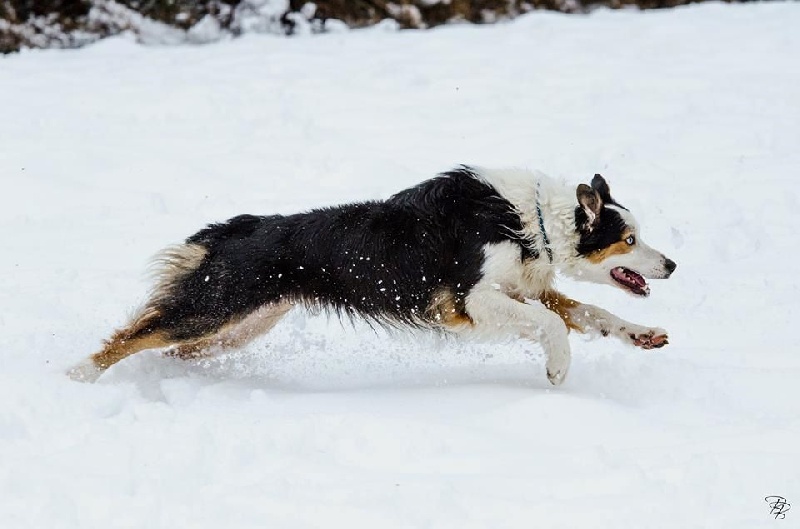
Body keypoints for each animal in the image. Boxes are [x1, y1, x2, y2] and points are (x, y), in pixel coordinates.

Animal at [72, 167, 680, 386]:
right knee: (130, 336)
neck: (531, 221)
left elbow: (593, 313)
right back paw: (77, 377)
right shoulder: (470, 302)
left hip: (241, 326)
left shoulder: (522, 290)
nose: (672, 264)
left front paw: (642, 335)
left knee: (171, 349)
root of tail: (233, 229)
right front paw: (556, 371)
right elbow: (553, 327)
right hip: (213, 309)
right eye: (630, 240)